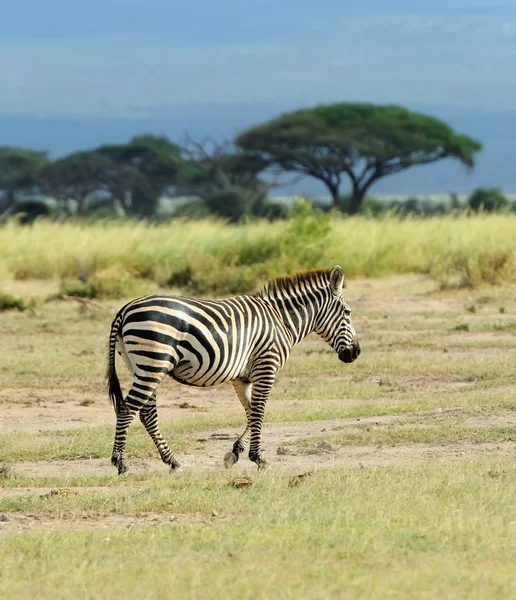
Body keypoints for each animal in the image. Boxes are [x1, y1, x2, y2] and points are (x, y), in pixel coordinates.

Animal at [107, 266, 360, 474]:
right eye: (348, 313)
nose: (356, 353)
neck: (281, 320)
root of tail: (125, 309)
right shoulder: (266, 366)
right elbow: (259, 411)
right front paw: (257, 458)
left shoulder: (242, 377)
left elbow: (251, 412)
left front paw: (235, 452)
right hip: (153, 362)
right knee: (127, 409)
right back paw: (121, 463)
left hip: (141, 366)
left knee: (147, 413)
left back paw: (172, 461)